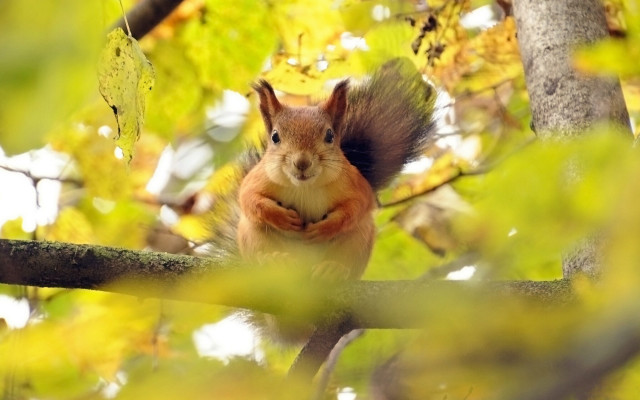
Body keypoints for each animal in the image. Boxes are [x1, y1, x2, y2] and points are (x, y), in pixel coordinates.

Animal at [236, 58, 436, 281]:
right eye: (275, 137)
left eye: (330, 136)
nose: (302, 162)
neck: (305, 186)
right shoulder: (258, 177)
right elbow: (248, 197)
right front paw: (280, 216)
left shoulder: (354, 183)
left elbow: (358, 205)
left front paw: (327, 227)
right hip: (252, 235)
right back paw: (275, 259)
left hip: (358, 239)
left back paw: (333, 269)